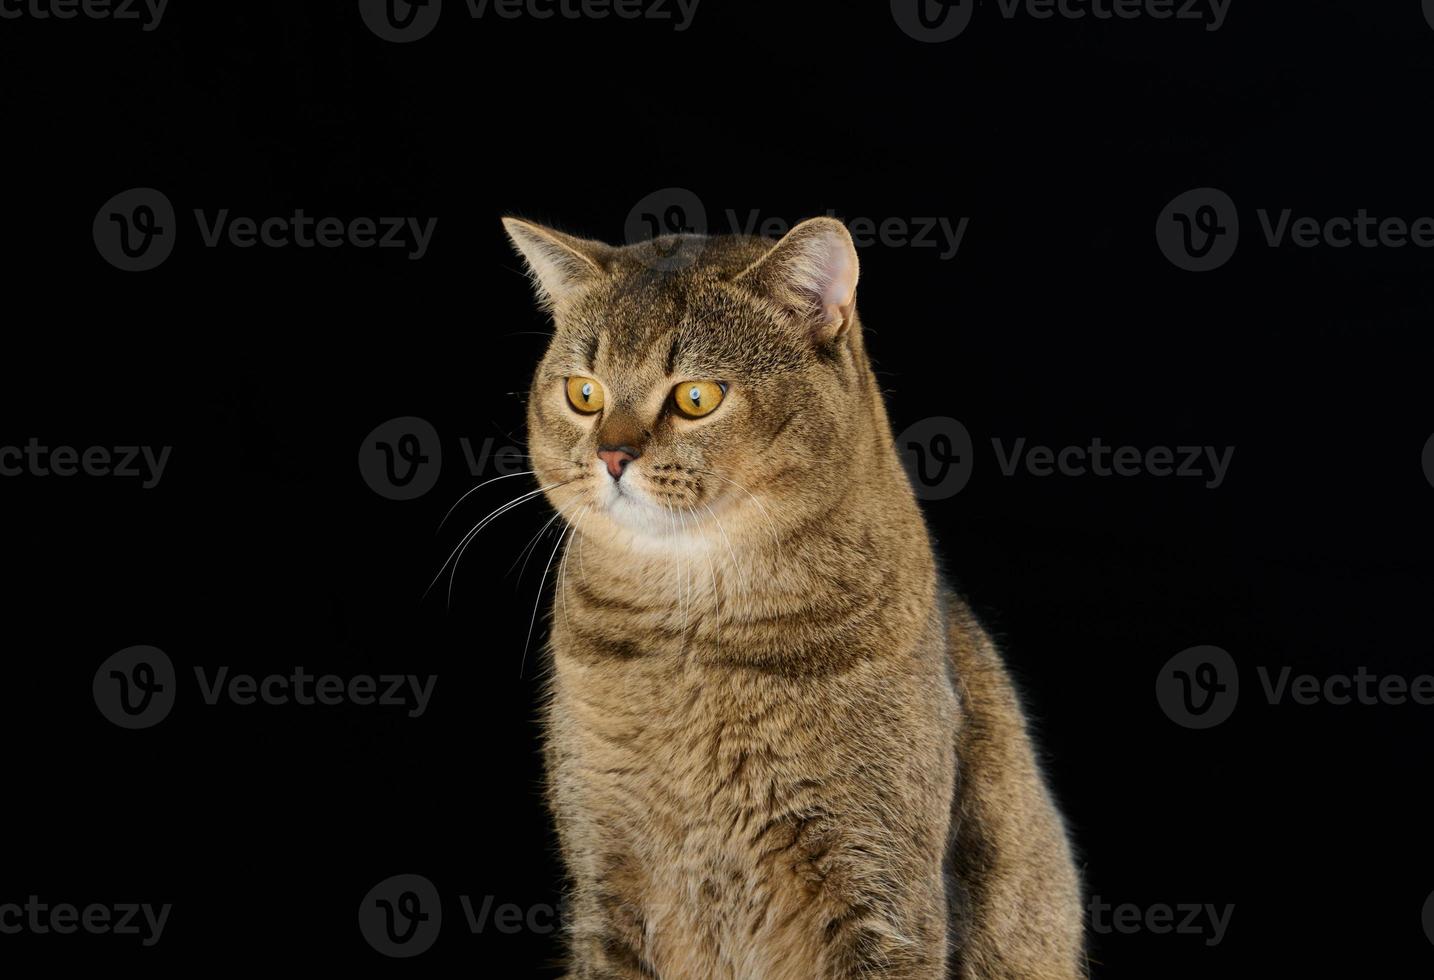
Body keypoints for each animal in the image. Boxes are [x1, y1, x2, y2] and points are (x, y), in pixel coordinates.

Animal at [504, 216, 1084, 980]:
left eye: (696, 398)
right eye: (584, 394)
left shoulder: (880, 888)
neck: (691, 645)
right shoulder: (605, 884)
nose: (612, 455)